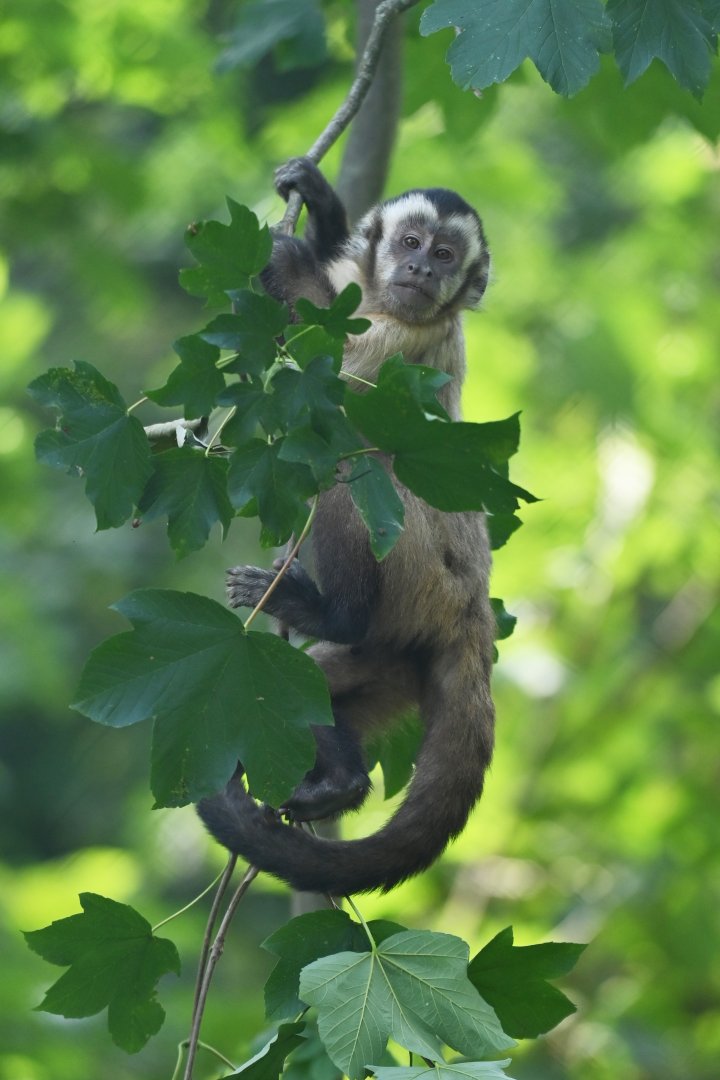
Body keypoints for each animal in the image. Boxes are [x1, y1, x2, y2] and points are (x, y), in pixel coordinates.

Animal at [197, 158, 495, 895]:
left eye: (445, 256)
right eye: (412, 244)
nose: (419, 270)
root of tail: (473, 609)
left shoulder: (411, 338)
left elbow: (318, 369)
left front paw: (288, 255)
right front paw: (324, 208)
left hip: (418, 574)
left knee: (346, 461)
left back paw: (331, 613)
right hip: (392, 657)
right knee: (297, 682)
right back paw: (344, 779)